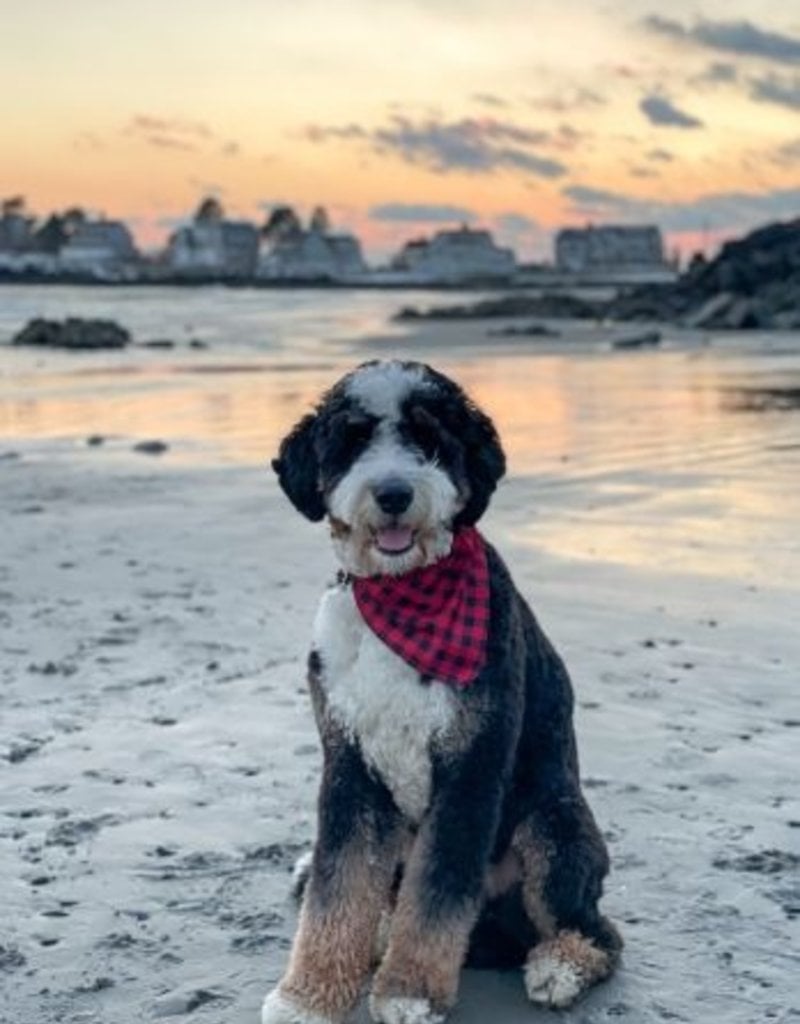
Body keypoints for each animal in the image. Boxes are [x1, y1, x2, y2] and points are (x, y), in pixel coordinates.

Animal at [262, 362, 618, 1024]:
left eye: (429, 438)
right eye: (352, 439)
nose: (394, 493)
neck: (402, 593)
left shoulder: (470, 770)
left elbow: (437, 897)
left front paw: (408, 992)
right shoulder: (349, 766)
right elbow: (337, 887)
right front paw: (308, 996)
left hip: (552, 824)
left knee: (597, 930)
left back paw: (559, 965)